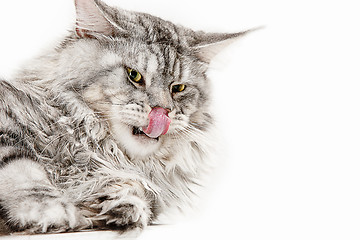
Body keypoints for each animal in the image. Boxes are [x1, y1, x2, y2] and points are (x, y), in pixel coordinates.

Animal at [0, 0, 250, 235]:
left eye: (178, 88)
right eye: (134, 75)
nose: (163, 111)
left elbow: (137, 195)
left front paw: (117, 205)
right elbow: (22, 170)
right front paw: (48, 209)